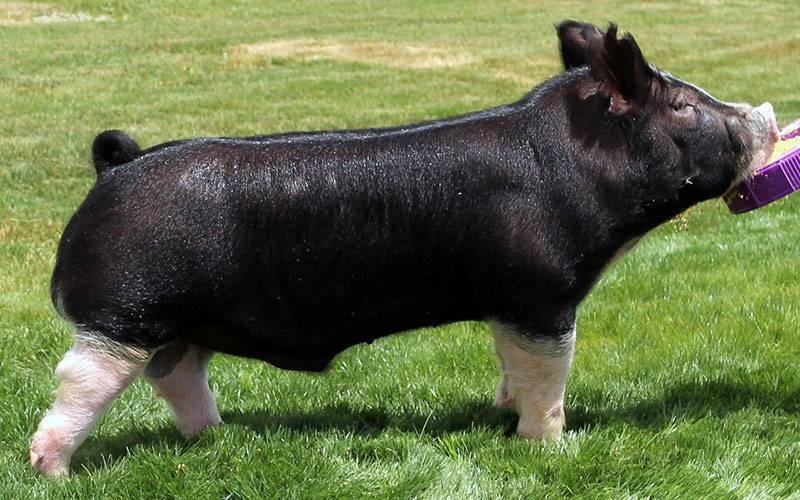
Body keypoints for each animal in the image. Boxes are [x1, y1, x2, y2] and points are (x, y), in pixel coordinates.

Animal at [31, 21, 778, 476]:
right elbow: (549, 373)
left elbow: (512, 366)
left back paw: (216, 437)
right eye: (682, 105)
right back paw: (53, 469)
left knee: (177, 373)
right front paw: (549, 445)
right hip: (124, 313)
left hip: (178, 324)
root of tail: (114, 167)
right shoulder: (539, 291)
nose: (766, 116)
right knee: (81, 380)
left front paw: (502, 413)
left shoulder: (506, 306)